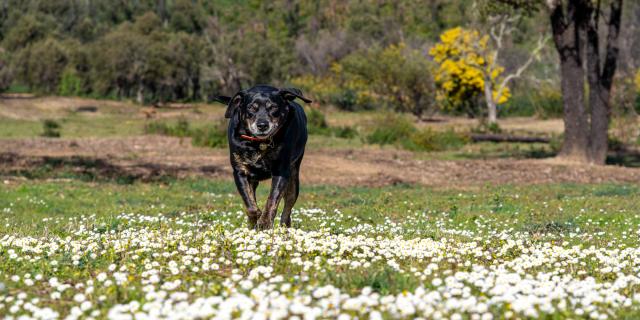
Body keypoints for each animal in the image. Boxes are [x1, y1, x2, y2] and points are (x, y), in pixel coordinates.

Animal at [218, 85, 312, 230]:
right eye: (251, 107)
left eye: (273, 107)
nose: (262, 125)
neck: (259, 143)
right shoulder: (240, 171)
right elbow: (249, 204)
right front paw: (255, 218)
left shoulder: (281, 171)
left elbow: (272, 200)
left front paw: (264, 223)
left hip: (294, 178)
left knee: (288, 207)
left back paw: (284, 226)